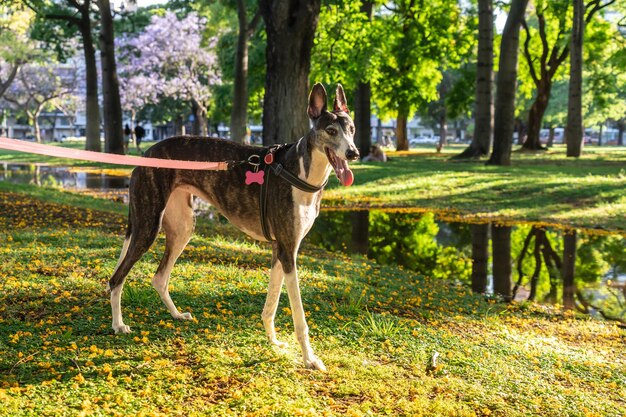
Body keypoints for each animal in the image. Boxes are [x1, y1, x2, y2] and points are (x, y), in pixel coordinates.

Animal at [109, 83, 358, 368]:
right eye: (331, 131)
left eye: (351, 129)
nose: (353, 153)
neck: (300, 173)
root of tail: (145, 155)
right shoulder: (288, 251)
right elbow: (299, 315)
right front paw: (309, 358)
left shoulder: (279, 250)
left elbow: (271, 304)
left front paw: (273, 342)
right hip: (147, 227)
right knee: (116, 278)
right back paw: (118, 325)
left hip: (183, 228)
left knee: (159, 278)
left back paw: (176, 315)